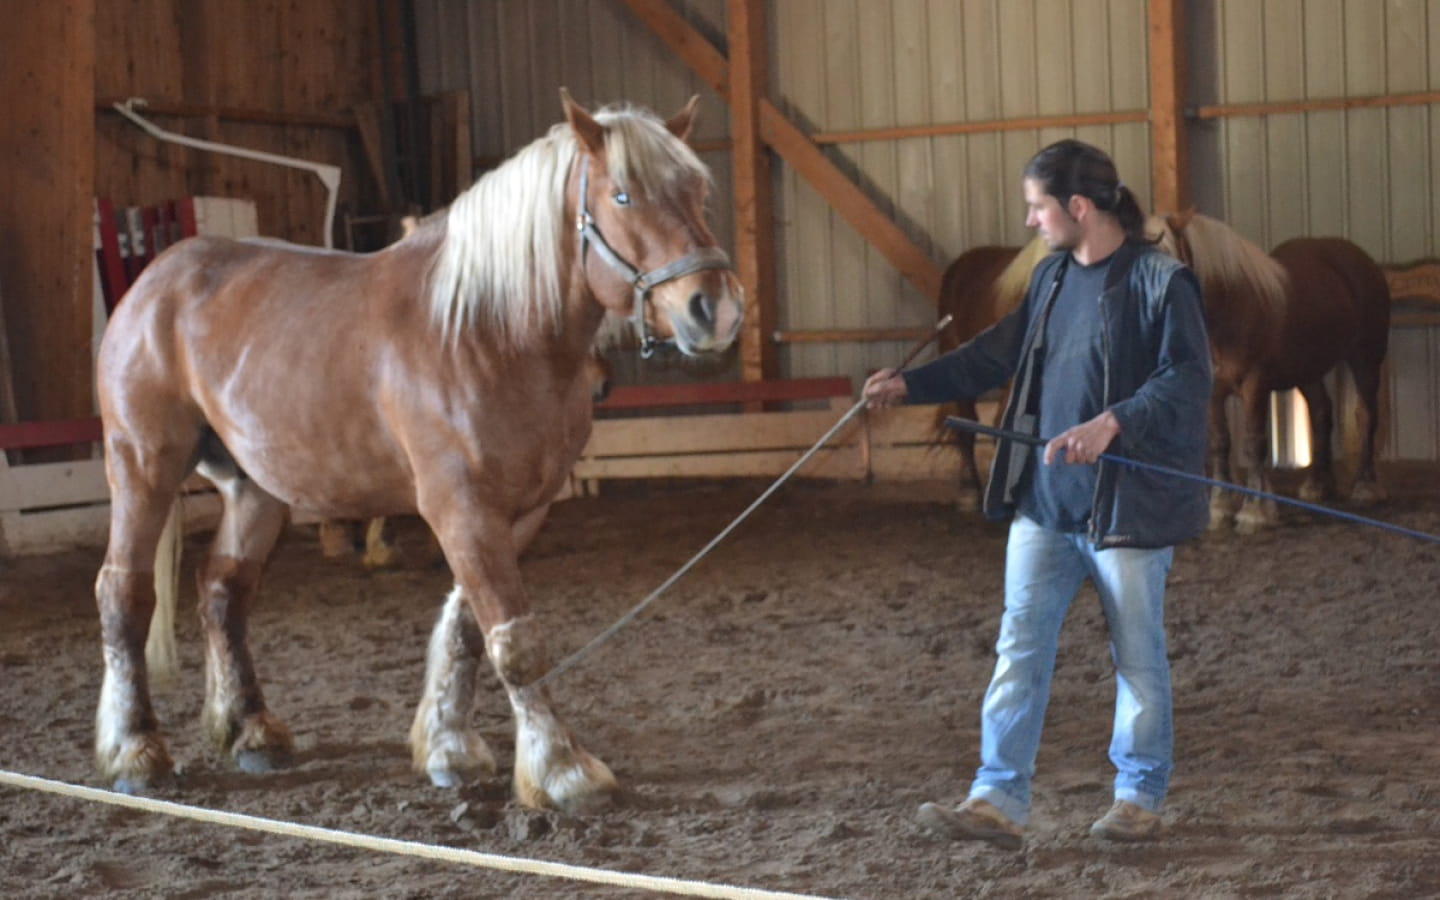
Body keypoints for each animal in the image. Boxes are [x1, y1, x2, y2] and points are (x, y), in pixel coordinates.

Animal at [92, 87, 743, 812]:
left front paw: (449, 750)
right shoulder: (460, 508)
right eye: (623, 195)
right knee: (123, 592)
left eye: (697, 190)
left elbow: (468, 629)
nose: (713, 309)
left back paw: (252, 731)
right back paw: (135, 750)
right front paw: (561, 768)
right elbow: (514, 640)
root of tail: (154, 279)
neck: (489, 331)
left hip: (254, 489)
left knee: (222, 590)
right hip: (142, 469)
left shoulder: (520, 512)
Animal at [1146, 211, 1393, 529]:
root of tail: (1362, 261)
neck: (1231, 310)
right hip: (1308, 369)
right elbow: (1220, 443)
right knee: (1321, 414)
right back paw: (1317, 485)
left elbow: (1254, 443)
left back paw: (1365, 487)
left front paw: (1255, 511)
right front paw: (1220, 507)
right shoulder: (1214, 392)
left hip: (1365, 359)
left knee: (1365, 416)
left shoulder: (1255, 386)